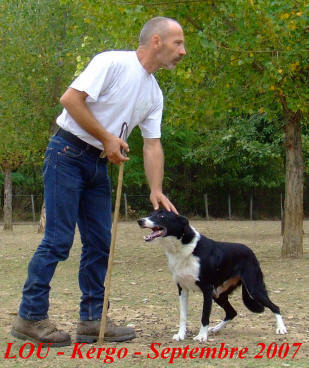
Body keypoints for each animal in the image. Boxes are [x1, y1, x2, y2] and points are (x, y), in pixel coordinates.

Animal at [137, 210, 286, 342]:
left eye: (162, 216)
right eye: (151, 213)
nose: (140, 221)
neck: (183, 248)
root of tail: (250, 251)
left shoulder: (207, 289)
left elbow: (204, 315)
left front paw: (202, 336)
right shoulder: (182, 289)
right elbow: (183, 316)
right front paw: (181, 335)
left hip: (254, 288)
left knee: (275, 307)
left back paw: (281, 328)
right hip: (218, 294)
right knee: (232, 312)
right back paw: (215, 329)